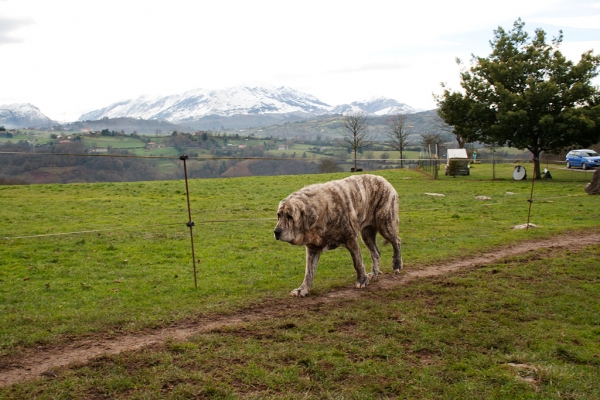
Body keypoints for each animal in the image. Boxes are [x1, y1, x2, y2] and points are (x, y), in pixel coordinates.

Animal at [274, 175, 404, 296]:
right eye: (279, 215)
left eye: (290, 216)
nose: (276, 232)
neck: (322, 213)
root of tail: (384, 180)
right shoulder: (312, 249)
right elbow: (309, 272)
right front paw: (303, 289)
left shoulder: (351, 239)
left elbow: (358, 262)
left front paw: (362, 280)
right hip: (367, 234)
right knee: (376, 253)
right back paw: (375, 273)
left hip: (386, 225)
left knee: (396, 241)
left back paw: (397, 265)